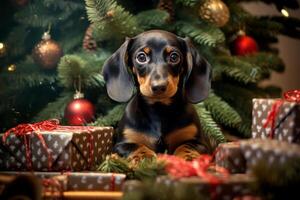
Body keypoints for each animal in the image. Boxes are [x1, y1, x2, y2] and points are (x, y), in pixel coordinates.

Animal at [103, 30, 213, 164]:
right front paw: (145, 158)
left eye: (174, 57)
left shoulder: (201, 143)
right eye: (141, 57)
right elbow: (136, 146)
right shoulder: (121, 144)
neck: (159, 110)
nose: (159, 86)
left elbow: (185, 145)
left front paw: (189, 157)